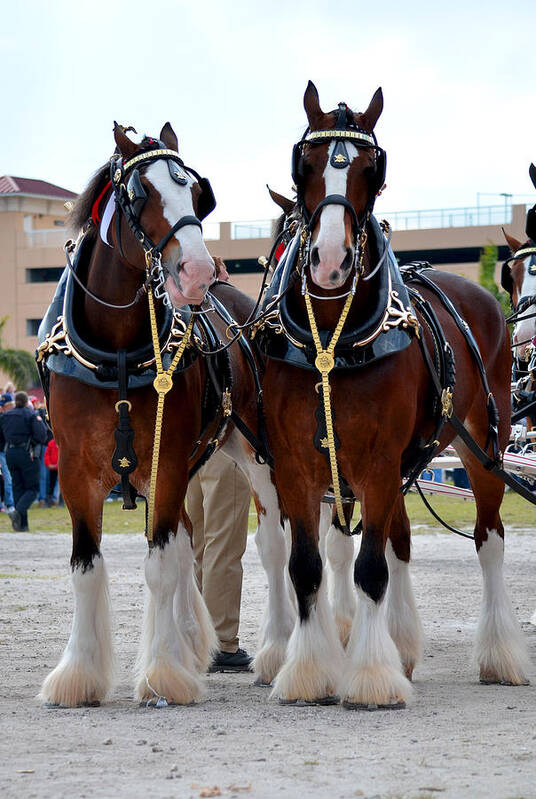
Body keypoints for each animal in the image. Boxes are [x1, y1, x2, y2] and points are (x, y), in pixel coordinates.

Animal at [255, 79, 532, 708]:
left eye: (370, 170)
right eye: (304, 166)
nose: (330, 262)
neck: (332, 337)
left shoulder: (377, 462)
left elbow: (368, 570)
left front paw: (370, 679)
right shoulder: (298, 464)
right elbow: (308, 566)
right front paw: (311, 671)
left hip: (484, 444)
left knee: (489, 539)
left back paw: (500, 654)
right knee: (401, 541)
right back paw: (402, 645)